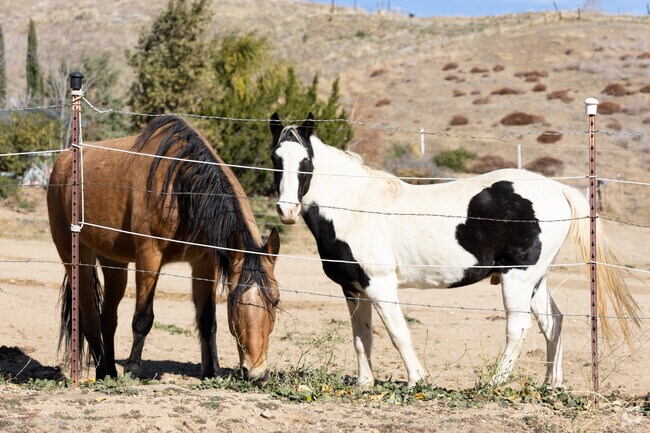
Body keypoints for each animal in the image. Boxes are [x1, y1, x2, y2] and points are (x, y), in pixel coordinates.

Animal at [47, 115, 281, 386]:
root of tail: (63, 162)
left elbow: (207, 320)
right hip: (75, 258)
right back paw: (103, 371)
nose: (257, 374)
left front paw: (212, 372)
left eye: (276, 300)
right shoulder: (149, 257)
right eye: (233, 300)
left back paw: (110, 371)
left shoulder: (204, 262)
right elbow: (143, 319)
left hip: (114, 263)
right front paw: (133, 370)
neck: (181, 188)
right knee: (90, 316)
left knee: (108, 318)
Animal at [269, 112, 640, 388]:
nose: (286, 211)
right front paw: (365, 384)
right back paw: (551, 383)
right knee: (553, 323)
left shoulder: (380, 284)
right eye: (275, 158)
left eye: (305, 161)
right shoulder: (353, 288)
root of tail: (557, 189)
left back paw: (494, 383)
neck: (354, 206)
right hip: (537, 280)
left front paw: (417, 380)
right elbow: (362, 337)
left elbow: (398, 333)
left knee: (518, 327)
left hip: (517, 279)